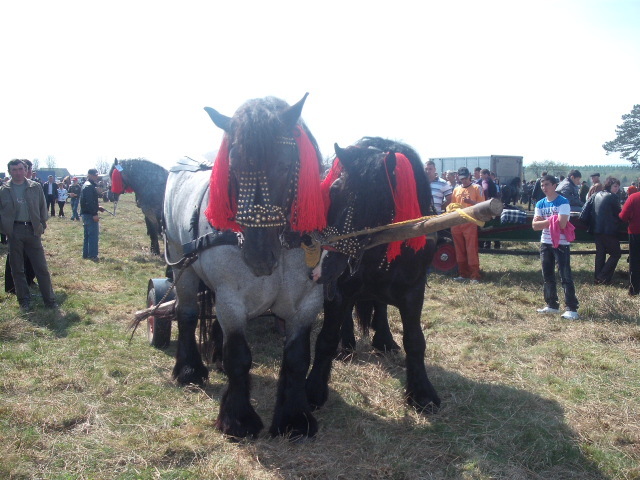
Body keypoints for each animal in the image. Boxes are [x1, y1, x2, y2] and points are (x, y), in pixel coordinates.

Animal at [162, 94, 328, 438]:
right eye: (234, 167)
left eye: (285, 165)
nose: (258, 255)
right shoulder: (232, 301)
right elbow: (238, 357)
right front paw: (237, 419)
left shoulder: (308, 302)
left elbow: (297, 358)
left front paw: (294, 418)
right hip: (180, 262)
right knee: (186, 313)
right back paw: (189, 370)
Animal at [308, 138, 440, 412]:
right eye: (334, 191)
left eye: (378, 199)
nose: (326, 267)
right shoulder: (339, 289)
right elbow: (326, 337)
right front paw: (313, 389)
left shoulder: (414, 291)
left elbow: (415, 340)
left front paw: (422, 392)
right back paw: (347, 344)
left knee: (379, 306)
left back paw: (384, 340)